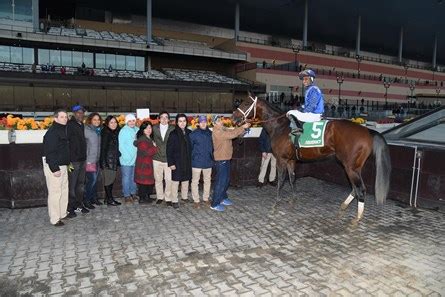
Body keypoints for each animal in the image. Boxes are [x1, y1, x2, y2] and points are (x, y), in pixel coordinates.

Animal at [231, 96, 390, 222]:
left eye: (246, 103)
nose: (233, 118)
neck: (280, 126)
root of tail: (368, 130)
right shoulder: (291, 160)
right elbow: (292, 179)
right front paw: (293, 200)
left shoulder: (281, 160)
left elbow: (281, 180)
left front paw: (276, 204)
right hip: (354, 167)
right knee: (355, 188)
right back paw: (344, 206)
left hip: (350, 167)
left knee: (360, 189)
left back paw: (358, 217)